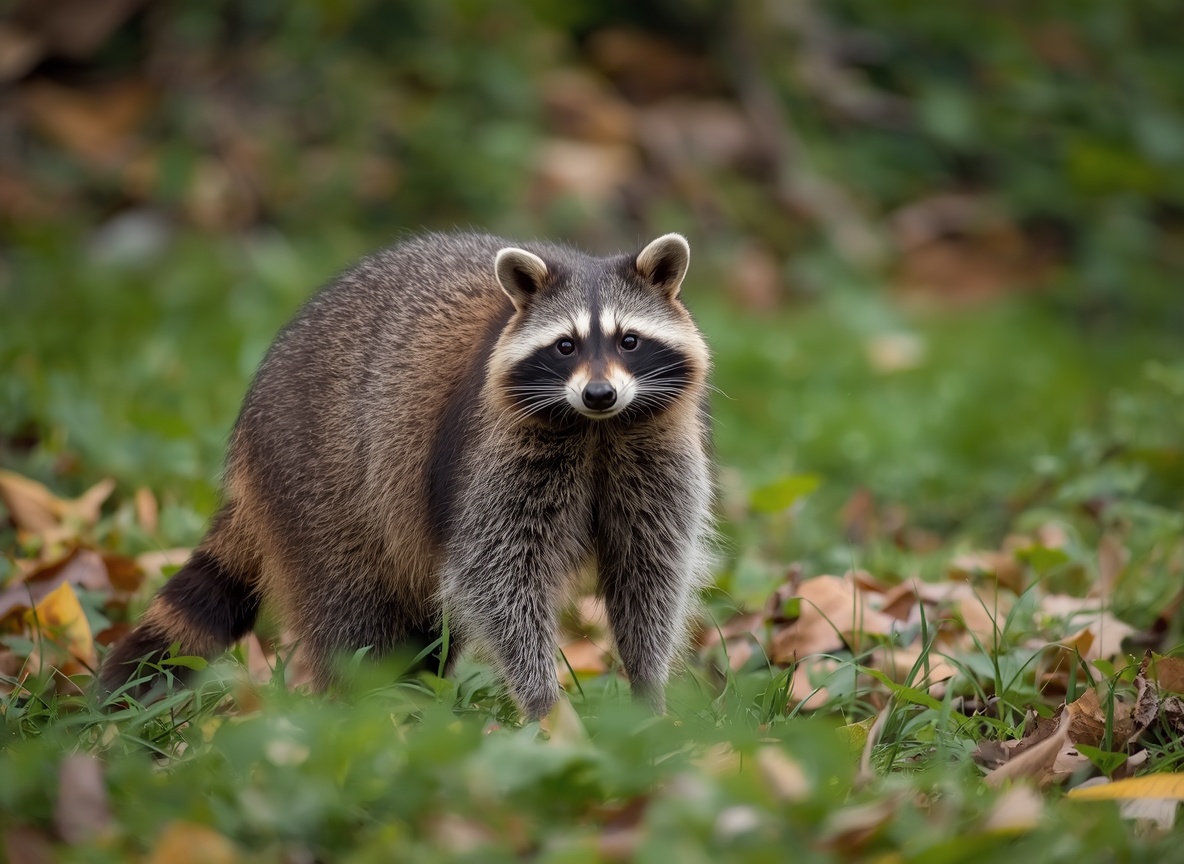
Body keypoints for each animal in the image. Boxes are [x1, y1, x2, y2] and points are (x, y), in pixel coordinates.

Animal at [99, 231, 714, 719]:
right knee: (352, 611)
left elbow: (649, 566)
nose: (599, 393)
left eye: (628, 340)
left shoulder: (653, 447)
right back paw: (364, 703)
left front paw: (648, 687)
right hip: (320, 477)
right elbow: (498, 571)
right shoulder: (492, 448)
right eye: (565, 346)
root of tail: (249, 432)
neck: (595, 429)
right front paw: (544, 704)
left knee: (425, 627)